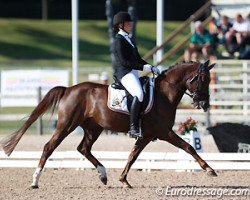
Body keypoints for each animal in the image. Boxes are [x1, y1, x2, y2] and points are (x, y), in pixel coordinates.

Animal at [0, 60, 217, 188]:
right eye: (203, 79)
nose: (205, 104)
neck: (164, 93)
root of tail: (69, 89)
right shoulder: (165, 132)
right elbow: (189, 147)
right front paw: (209, 170)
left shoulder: (147, 135)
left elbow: (132, 156)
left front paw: (123, 180)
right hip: (67, 125)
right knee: (49, 147)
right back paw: (35, 181)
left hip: (93, 128)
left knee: (83, 148)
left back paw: (103, 175)